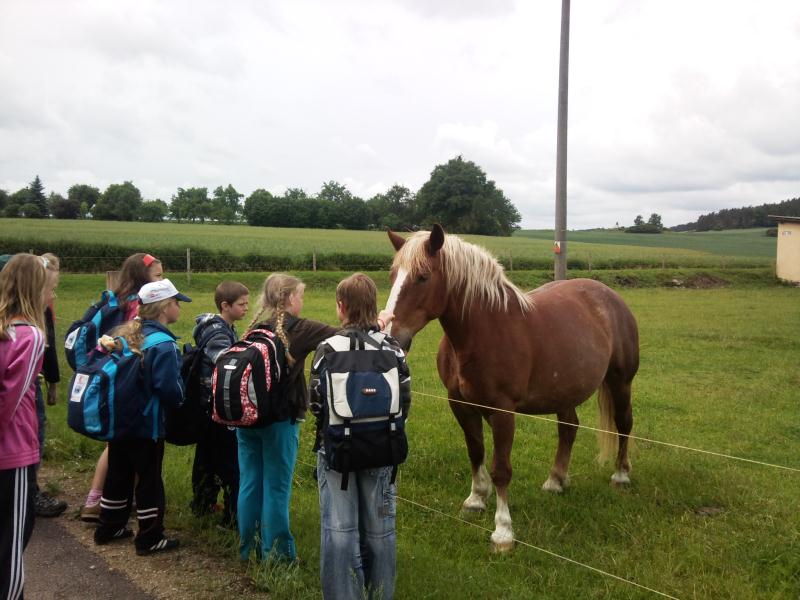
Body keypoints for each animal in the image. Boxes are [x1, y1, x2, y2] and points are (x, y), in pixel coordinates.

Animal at [385, 224, 639, 552]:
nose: (391, 335)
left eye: (423, 276)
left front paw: (503, 531)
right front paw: (475, 500)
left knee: (623, 424)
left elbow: (501, 469)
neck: (484, 330)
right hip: (565, 391)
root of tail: (610, 297)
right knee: (569, 428)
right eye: (393, 274)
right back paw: (556, 480)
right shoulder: (461, 405)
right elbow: (476, 452)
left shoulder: (502, 411)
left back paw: (620, 475)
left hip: (621, 382)